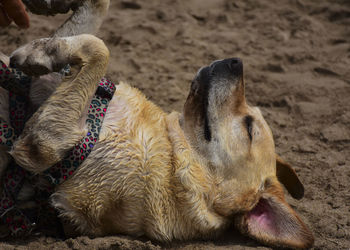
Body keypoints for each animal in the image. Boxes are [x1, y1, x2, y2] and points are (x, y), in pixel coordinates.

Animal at [5, 32, 314, 248]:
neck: (176, 156)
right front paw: (42, 49)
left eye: (249, 127)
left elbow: (99, 48)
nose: (236, 62)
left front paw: (40, 53)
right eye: (252, 117)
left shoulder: (45, 142)